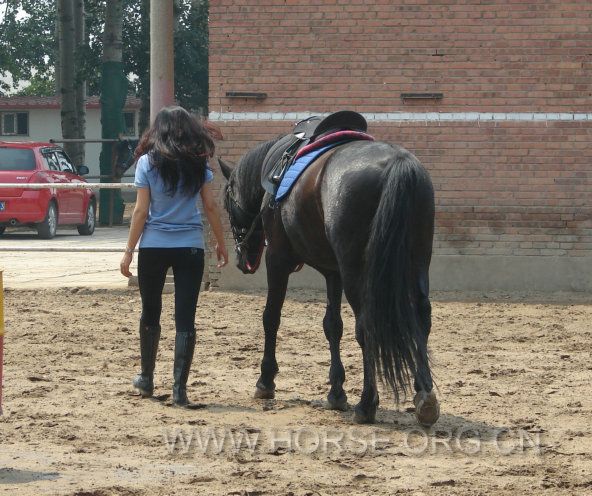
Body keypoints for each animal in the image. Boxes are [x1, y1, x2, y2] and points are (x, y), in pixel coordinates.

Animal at [221, 137, 440, 426]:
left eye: (227, 204)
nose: (241, 258)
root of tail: (397, 162)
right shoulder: (333, 272)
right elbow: (332, 325)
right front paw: (336, 392)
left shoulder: (277, 259)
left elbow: (271, 317)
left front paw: (265, 380)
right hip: (417, 263)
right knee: (422, 318)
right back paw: (425, 395)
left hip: (356, 272)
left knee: (366, 327)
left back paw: (367, 404)